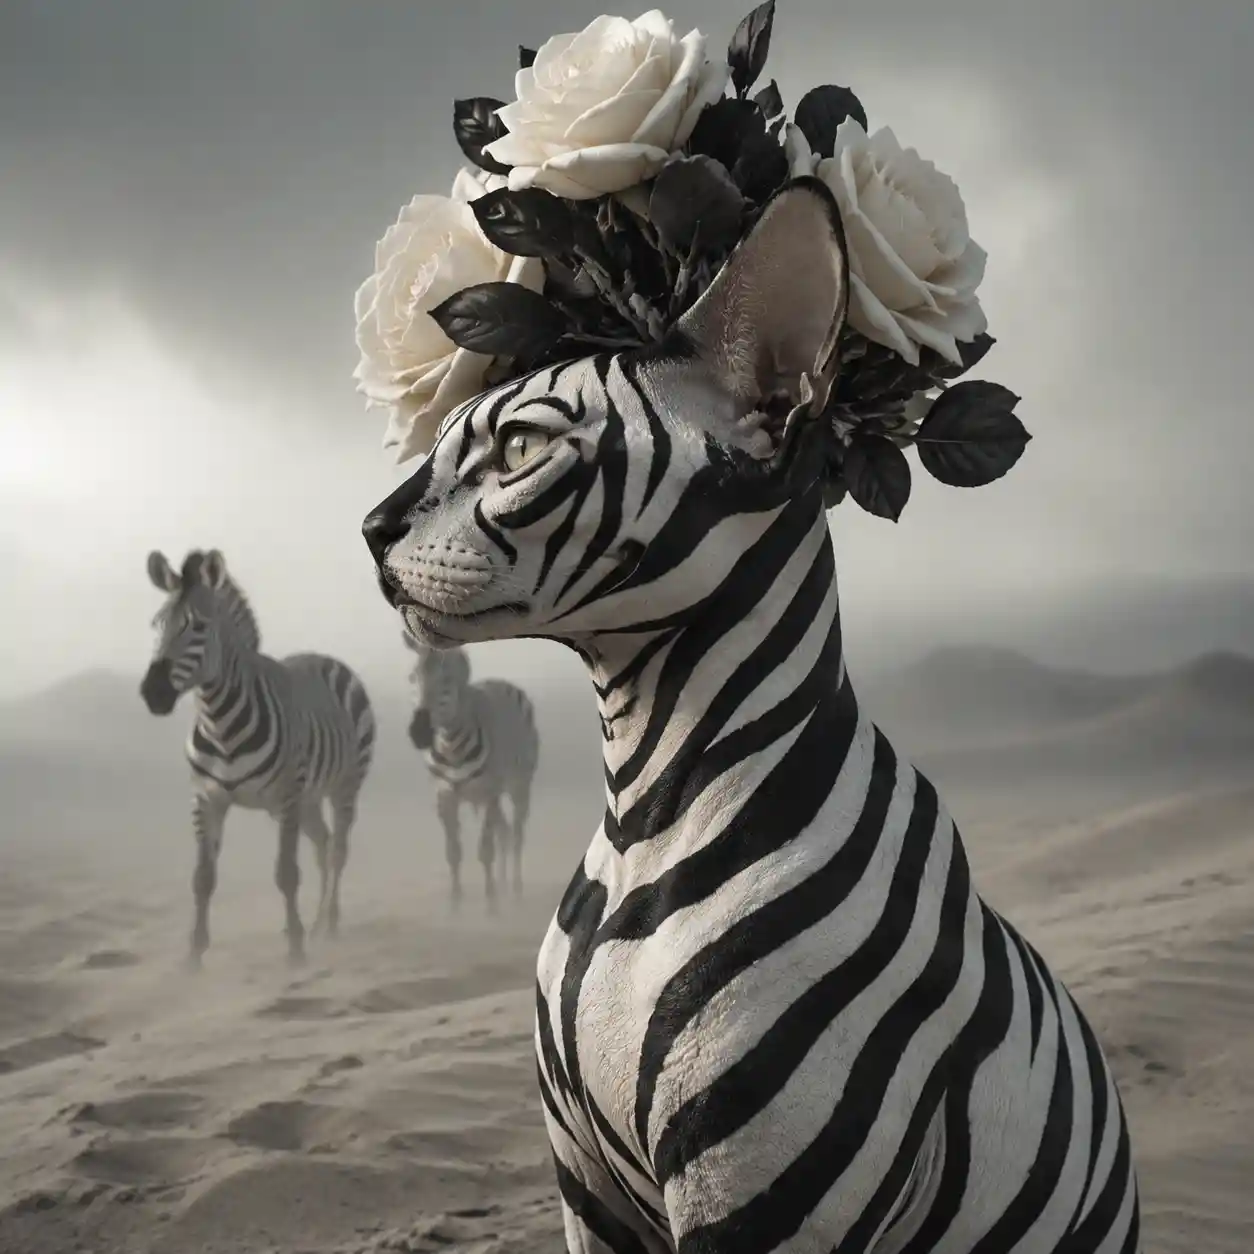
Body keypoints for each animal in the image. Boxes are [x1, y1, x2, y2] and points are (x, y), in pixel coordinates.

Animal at [140, 548, 375, 968]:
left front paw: (295, 948)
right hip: (308, 799)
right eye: (157, 624)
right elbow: (202, 878)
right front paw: (194, 954)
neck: (220, 724)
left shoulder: (286, 796)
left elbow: (286, 873)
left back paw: (329, 925)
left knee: (338, 851)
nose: (153, 694)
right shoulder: (206, 798)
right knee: (323, 844)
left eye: (198, 627)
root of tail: (324, 656)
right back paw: (318, 923)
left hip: (344, 786)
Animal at [402, 632, 539, 909]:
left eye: (446, 681)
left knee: (516, 835)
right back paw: (504, 883)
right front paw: (455, 904)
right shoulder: (444, 795)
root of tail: (501, 681)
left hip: (519, 786)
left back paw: (515, 889)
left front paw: (491, 903)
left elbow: (485, 850)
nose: (418, 733)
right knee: (504, 832)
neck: (451, 746)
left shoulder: (489, 792)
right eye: (412, 677)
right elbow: (453, 852)